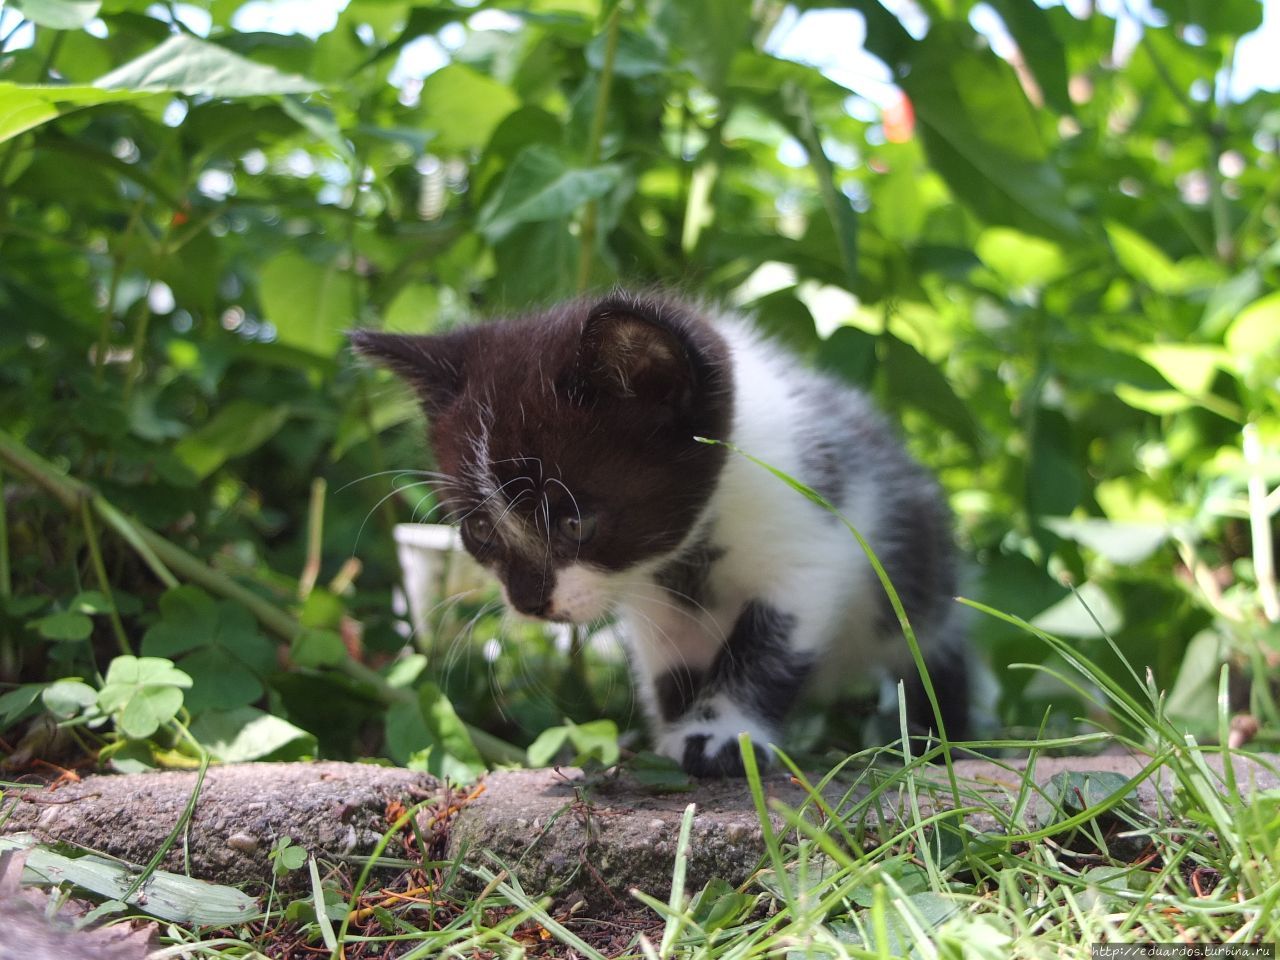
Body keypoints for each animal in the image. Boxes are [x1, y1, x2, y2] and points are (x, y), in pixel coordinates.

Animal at [350, 289, 967, 778]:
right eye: (479, 529)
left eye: (575, 522)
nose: (528, 602)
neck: (695, 547)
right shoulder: (651, 594)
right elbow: (672, 662)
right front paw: (674, 736)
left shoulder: (814, 544)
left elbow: (767, 646)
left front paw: (722, 734)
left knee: (936, 663)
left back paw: (944, 742)